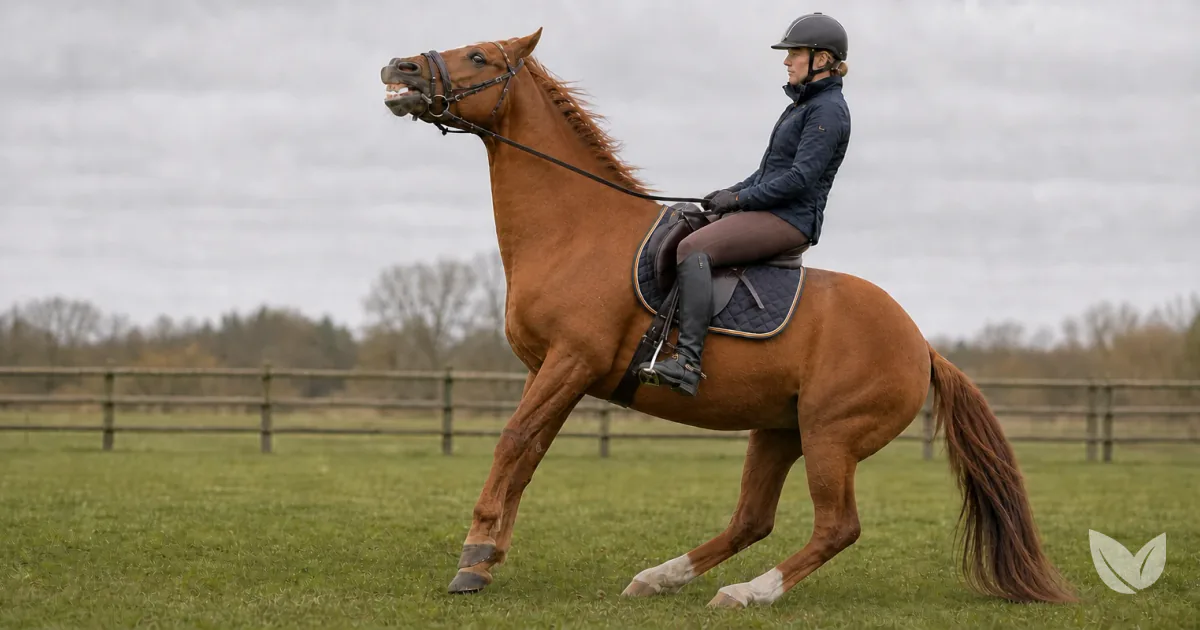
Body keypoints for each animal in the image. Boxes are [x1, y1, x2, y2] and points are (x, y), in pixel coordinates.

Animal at [378, 28, 1077, 608]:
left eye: (479, 57)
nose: (400, 67)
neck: (577, 231)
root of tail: (921, 345)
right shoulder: (546, 370)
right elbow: (528, 454)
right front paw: (488, 557)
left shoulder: (570, 362)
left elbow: (515, 441)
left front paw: (472, 560)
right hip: (779, 430)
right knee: (752, 519)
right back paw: (660, 577)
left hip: (831, 435)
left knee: (836, 526)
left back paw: (747, 593)